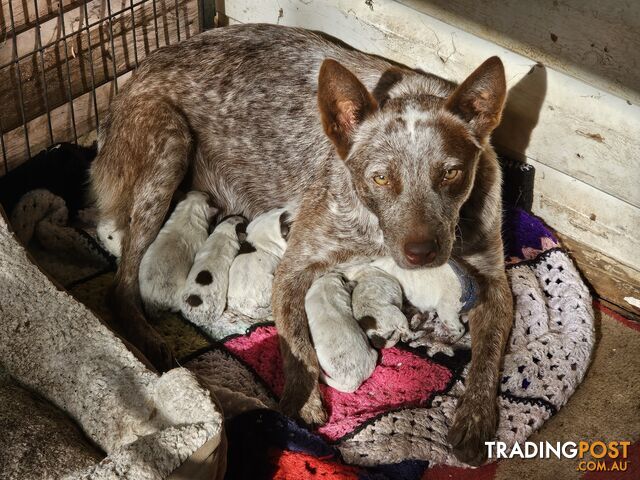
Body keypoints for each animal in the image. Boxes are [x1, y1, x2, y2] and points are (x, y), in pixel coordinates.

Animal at [91, 23, 510, 464]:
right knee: (120, 286)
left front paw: (476, 420)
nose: (422, 253)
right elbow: (296, 344)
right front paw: (305, 400)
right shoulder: (295, 265)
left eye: (451, 173)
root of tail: (133, 77)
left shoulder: (494, 281)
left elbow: (488, 356)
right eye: (380, 177)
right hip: (169, 144)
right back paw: (147, 341)